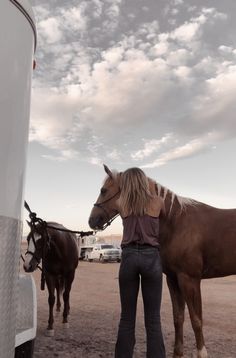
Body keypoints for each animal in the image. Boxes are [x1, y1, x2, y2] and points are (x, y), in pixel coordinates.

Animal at [88, 165, 236, 358]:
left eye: (103, 190)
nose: (92, 220)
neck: (176, 222)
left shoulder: (190, 280)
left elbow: (196, 319)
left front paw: (202, 353)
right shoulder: (173, 279)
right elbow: (178, 318)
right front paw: (177, 353)